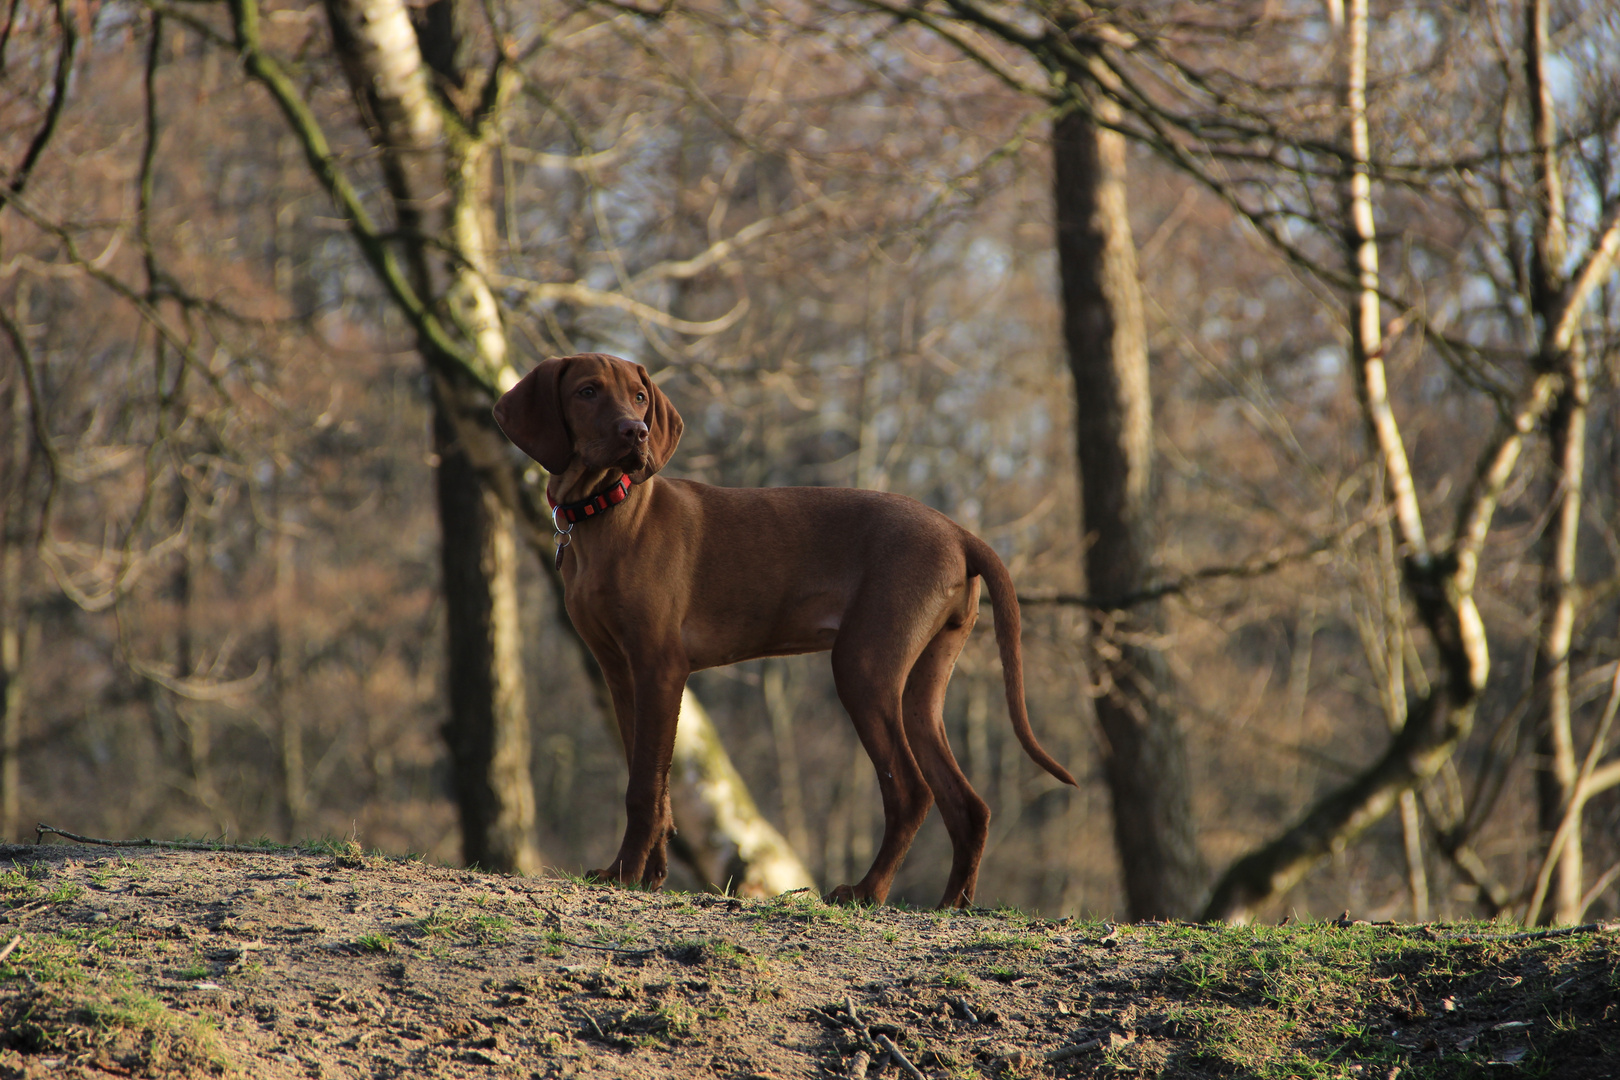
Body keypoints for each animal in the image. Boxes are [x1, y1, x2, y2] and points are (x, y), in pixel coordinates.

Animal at [492, 352, 1075, 906]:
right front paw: (643, 873)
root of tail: (959, 532)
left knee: (911, 792)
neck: (604, 513)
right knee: (968, 804)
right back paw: (952, 903)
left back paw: (866, 891)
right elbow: (657, 785)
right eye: (588, 392)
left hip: (863, 667)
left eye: (639, 396)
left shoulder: (660, 667)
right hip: (921, 685)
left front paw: (627, 874)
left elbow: (643, 786)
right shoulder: (620, 673)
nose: (635, 432)